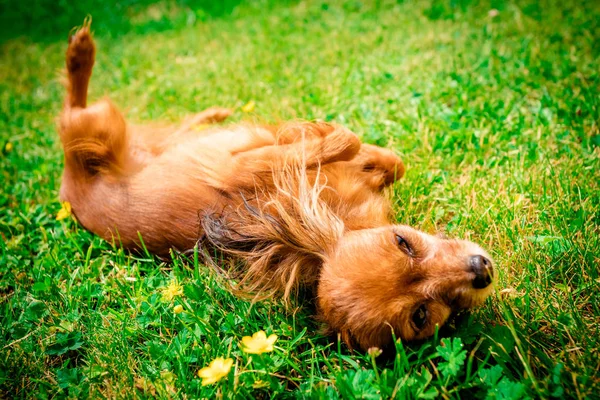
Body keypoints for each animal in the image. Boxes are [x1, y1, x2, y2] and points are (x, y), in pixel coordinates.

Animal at [58, 24, 494, 350]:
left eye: (403, 240)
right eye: (420, 316)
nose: (482, 270)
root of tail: (69, 194)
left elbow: (387, 160)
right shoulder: (237, 166)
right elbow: (346, 140)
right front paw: (318, 134)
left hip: (148, 138)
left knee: (174, 128)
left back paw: (213, 113)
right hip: (96, 130)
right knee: (71, 111)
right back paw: (80, 54)